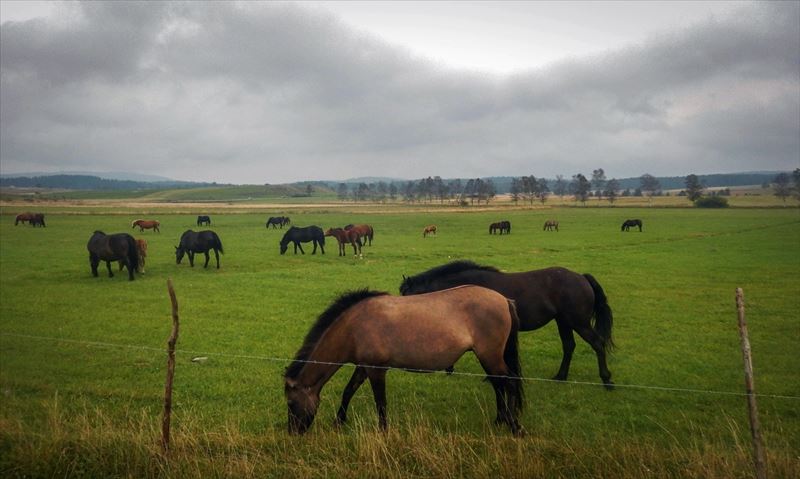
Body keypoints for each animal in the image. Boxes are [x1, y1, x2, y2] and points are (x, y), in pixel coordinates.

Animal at [286, 286, 524, 436]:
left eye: (290, 403)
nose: (293, 432)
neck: (354, 327)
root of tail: (504, 300)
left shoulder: (376, 370)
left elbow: (380, 402)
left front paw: (383, 431)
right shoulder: (363, 367)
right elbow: (348, 392)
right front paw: (338, 422)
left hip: (490, 356)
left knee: (509, 383)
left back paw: (515, 427)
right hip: (489, 357)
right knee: (499, 384)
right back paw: (500, 420)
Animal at [400, 262, 620, 390]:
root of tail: (582, 277)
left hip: (578, 322)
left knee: (597, 344)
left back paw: (607, 380)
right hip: (563, 321)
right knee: (569, 346)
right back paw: (560, 377)